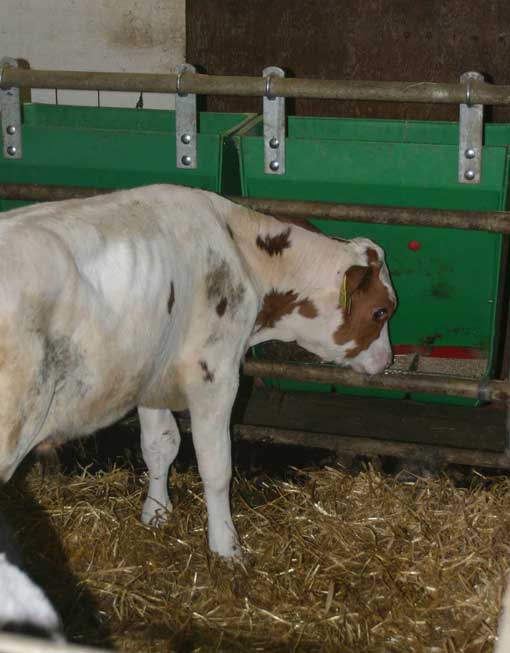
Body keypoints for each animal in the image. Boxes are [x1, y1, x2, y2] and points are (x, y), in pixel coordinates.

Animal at [0, 184, 396, 560]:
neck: (239, 251)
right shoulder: (215, 374)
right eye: (381, 312)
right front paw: (226, 548)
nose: (387, 361)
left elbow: (160, 445)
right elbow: (216, 466)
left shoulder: (153, 372)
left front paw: (156, 513)